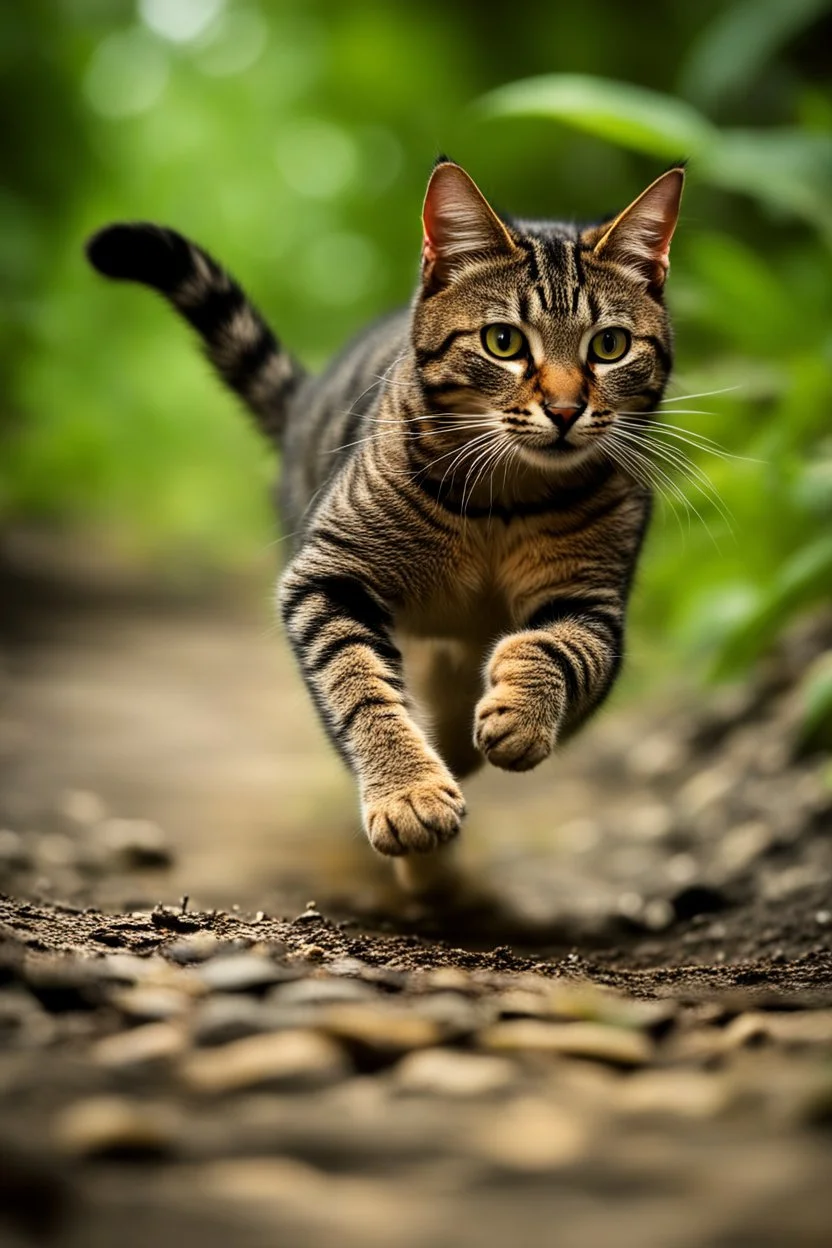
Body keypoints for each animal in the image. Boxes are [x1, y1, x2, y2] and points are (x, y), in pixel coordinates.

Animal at [86, 160, 683, 893]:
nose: (567, 409)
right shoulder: (326, 577)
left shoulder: (593, 601)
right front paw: (409, 794)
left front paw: (517, 713)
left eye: (610, 345)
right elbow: (363, 685)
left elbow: (558, 648)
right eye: (505, 341)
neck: (502, 501)